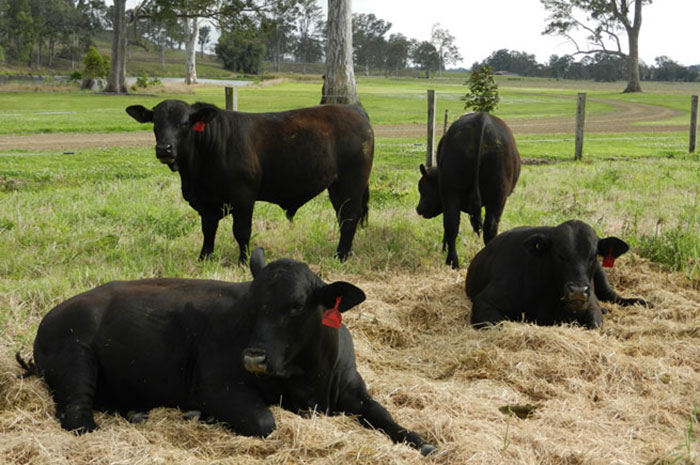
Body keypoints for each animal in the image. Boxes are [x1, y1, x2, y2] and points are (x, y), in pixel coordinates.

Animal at [16, 248, 435, 456]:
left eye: (298, 305)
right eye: (253, 303)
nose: (253, 357)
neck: (309, 379)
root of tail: (53, 314)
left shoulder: (353, 391)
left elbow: (386, 416)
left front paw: (421, 441)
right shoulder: (218, 388)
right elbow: (265, 422)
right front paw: (201, 416)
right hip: (76, 361)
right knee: (77, 416)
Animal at [125, 100, 374, 264]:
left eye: (184, 123)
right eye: (155, 123)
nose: (164, 149)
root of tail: (354, 109)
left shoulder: (243, 198)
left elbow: (241, 231)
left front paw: (243, 261)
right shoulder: (206, 203)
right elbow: (208, 230)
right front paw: (204, 257)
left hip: (351, 183)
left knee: (349, 218)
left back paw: (340, 256)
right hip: (337, 187)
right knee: (343, 217)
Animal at [416, 112, 521, 268]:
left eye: (423, 189)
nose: (418, 209)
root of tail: (481, 118)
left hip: (453, 194)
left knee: (452, 225)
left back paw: (452, 261)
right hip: (496, 198)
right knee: (485, 228)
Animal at [465, 220, 649, 329]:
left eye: (594, 255)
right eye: (559, 255)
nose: (578, 291)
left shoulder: (591, 305)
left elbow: (594, 324)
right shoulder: (485, 302)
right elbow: (499, 325)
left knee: (614, 296)